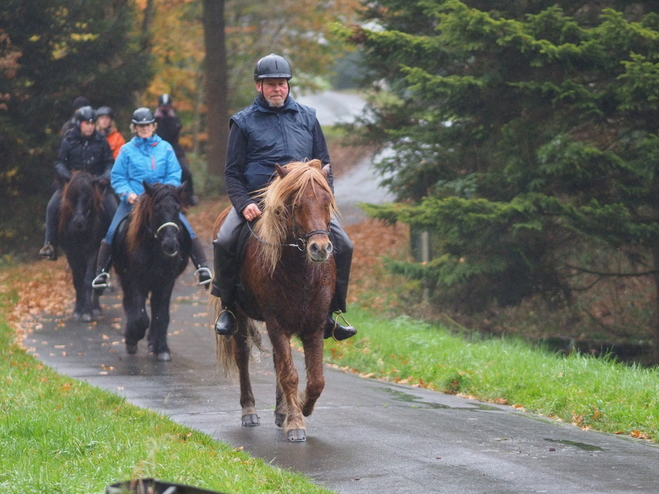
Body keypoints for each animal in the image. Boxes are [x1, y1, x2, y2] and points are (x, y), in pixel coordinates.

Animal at [59, 172, 112, 322]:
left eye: (88, 197)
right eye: (71, 196)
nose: (79, 222)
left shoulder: (93, 251)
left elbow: (88, 279)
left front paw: (87, 311)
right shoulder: (71, 253)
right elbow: (78, 280)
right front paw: (78, 309)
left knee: (97, 276)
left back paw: (96, 307)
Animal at [112, 183, 191, 360]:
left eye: (177, 208)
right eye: (156, 208)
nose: (171, 244)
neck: (154, 250)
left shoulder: (166, 282)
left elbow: (161, 315)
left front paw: (162, 349)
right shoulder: (134, 281)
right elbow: (140, 316)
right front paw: (132, 337)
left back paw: (153, 342)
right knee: (130, 305)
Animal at [214, 159, 338, 444]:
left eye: (327, 200)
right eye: (296, 204)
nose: (320, 248)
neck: (300, 271)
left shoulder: (314, 325)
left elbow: (316, 380)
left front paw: (301, 408)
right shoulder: (276, 323)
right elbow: (289, 374)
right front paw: (296, 423)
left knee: (276, 361)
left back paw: (281, 411)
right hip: (239, 314)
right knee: (242, 356)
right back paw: (249, 411)